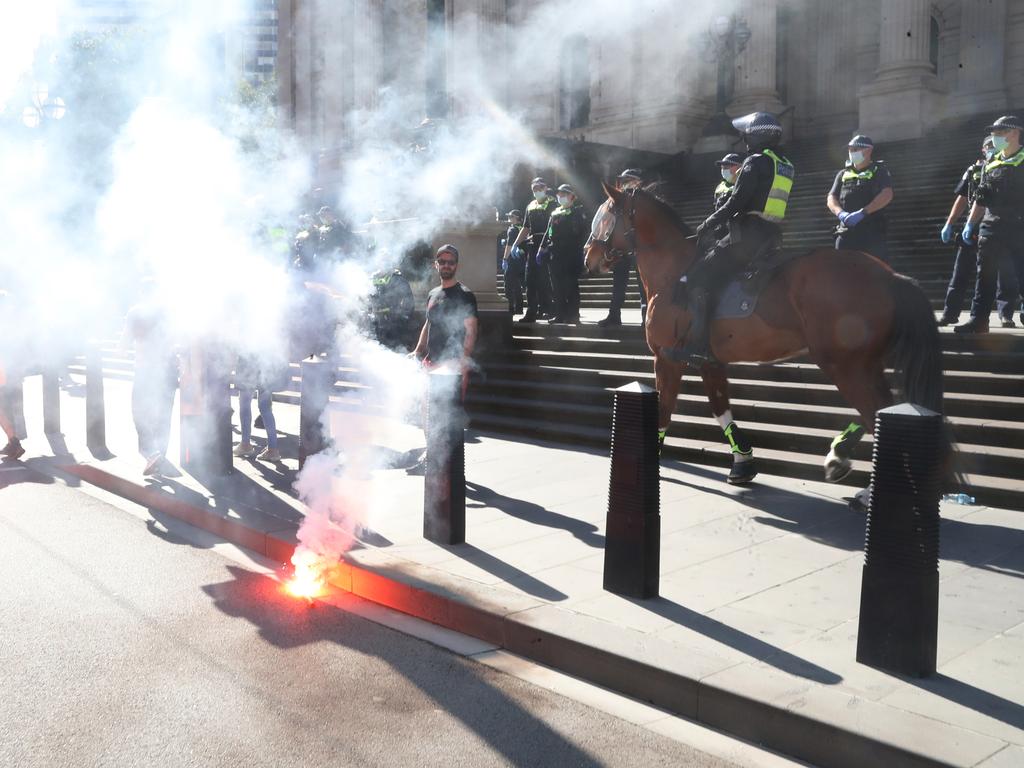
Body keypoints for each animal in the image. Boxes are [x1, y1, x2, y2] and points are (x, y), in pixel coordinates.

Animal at [585, 184, 942, 487]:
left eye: (605, 215)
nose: (588, 257)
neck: (675, 273)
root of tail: (889, 275)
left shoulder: (667, 358)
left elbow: (664, 409)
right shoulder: (709, 362)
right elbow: (720, 409)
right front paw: (742, 462)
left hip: (845, 365)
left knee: (876, 411)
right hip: (864, 364)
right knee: (883, 410)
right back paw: (840, 456)